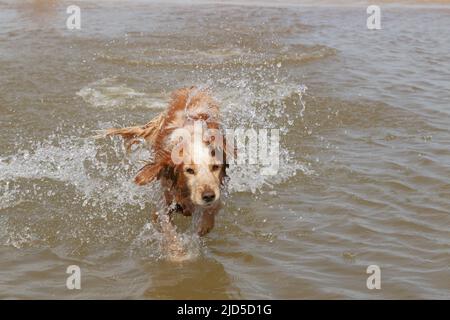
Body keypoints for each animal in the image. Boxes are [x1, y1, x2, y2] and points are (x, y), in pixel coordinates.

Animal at [102, 86, 229, 236]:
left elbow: (211, 210)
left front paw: (203, 226)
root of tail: (190, 88)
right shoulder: (164, 202)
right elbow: (169, 232)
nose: (208, 196)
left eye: (215, 167)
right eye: (189, 170)